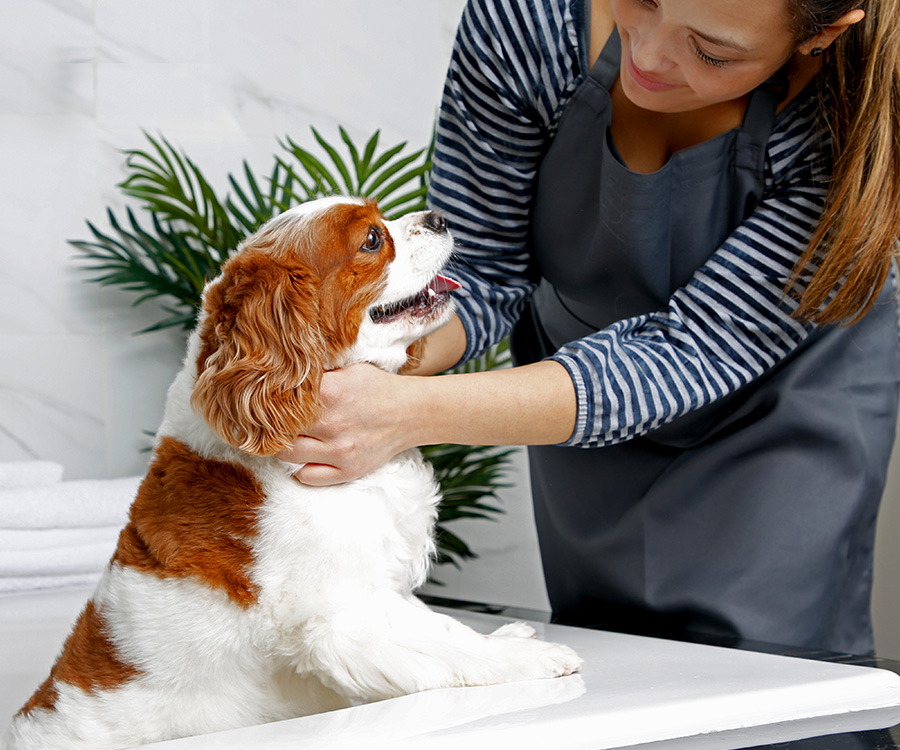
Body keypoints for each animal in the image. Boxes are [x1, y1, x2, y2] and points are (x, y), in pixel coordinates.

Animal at [5, 197, 584, 748]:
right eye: (372, 239)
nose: (439, 216)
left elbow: (441, 624)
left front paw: (505, 639)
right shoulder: (343, 617)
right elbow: (444, 638)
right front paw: (527, 660)